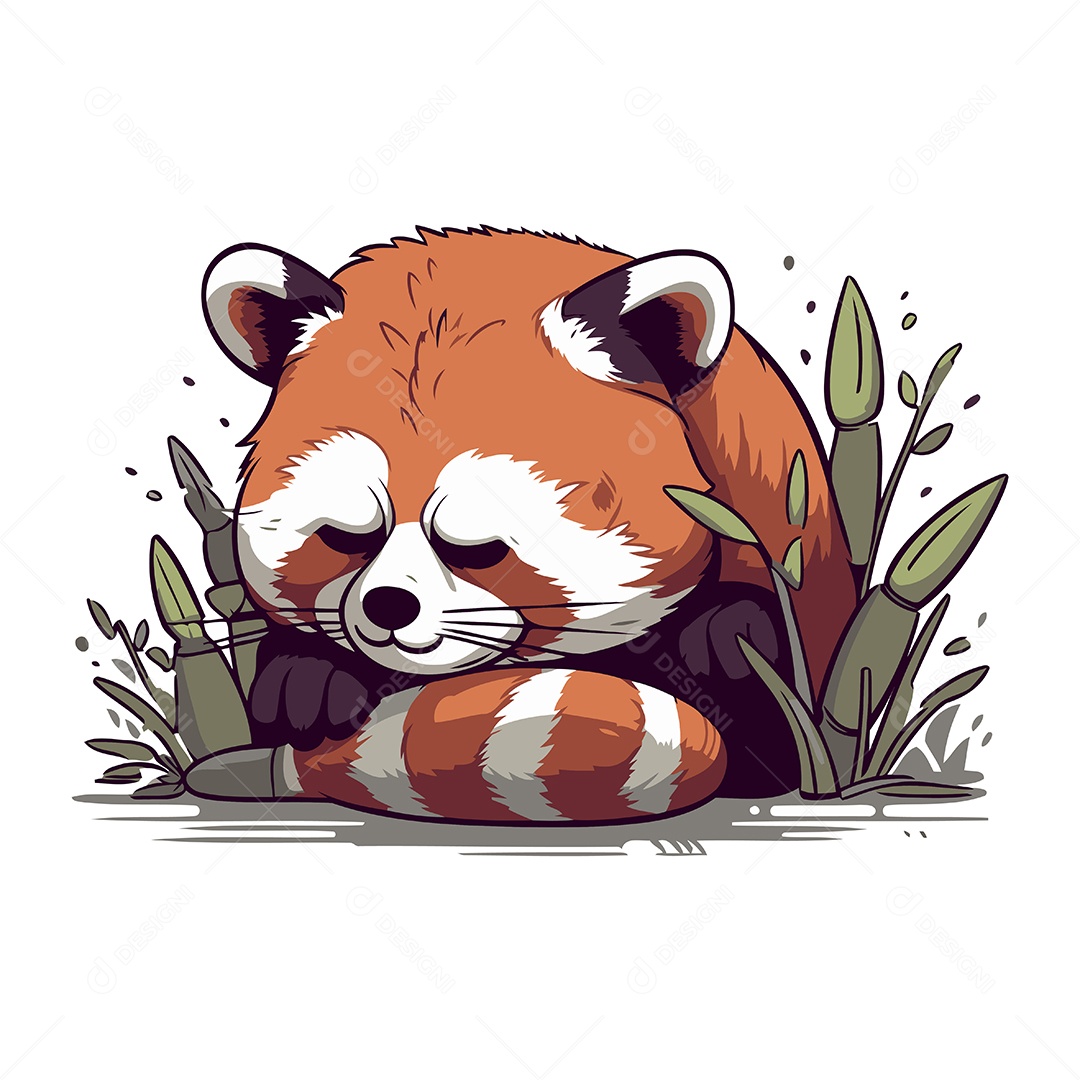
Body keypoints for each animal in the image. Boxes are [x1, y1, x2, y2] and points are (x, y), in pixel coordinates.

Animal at [185, 226, 856, 822]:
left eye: (476, 548)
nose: (388, 606)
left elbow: (767, 717)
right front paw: (311, 678)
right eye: (349, 537)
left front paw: (724, 639)